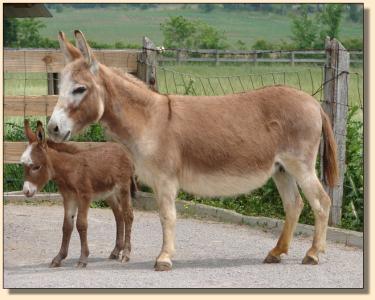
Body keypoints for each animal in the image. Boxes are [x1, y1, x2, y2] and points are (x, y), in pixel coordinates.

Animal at [21, 120, 136, 268]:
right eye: (23, 165)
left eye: (36, 167)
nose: (26, 191)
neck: (70, 170)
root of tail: (122, 149)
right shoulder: (68, 198)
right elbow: (67, 226)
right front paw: (59, 258)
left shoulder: (84, 196)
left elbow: (81, 224)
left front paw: (83, 259)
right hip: (109, 194)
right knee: (119, 216)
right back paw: (116, 251)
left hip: (123, 188)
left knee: (128, 216)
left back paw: (126, 254)